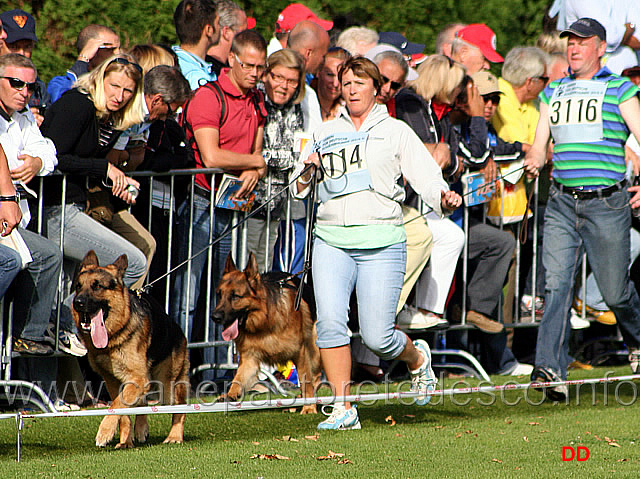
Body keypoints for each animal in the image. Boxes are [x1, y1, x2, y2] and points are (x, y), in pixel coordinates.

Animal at [72, 251, 189, 450]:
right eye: (78, 286)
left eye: (97, 286)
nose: (77, 302)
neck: (115, 334)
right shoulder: (114, 380)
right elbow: (122, 410)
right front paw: (125, 440)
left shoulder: (137, 378)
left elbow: (118, 404)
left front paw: (104, 431)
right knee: (141, 402)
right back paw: (141, 429)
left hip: (168, 386)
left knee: (179, 408)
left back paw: (174, 436)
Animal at [211, 253, 320, 414]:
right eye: (219, 294)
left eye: (235, 296)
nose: (214, 317)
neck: (264, 322)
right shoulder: (249, 358)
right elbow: (238, 378)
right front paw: (230, 394)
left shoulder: (301, 353)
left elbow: (306, 381)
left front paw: (309, 407)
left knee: (316, 378)